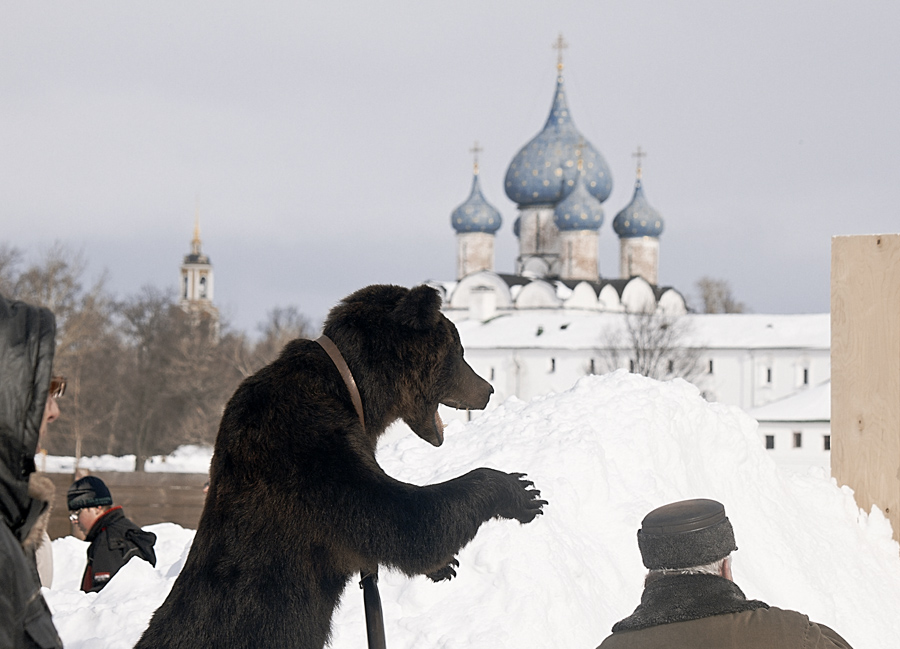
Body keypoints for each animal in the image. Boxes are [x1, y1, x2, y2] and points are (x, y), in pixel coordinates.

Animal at [134, 286, 540, 648]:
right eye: (460, 351)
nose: (487, 389)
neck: (356, 391)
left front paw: (445, 565)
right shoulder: (312, 451)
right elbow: (404, 521)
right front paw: (521, 491)